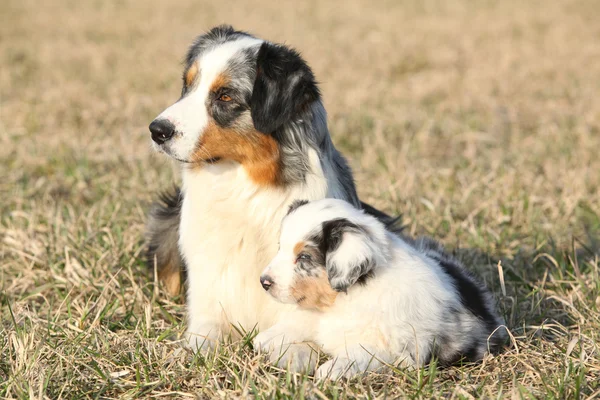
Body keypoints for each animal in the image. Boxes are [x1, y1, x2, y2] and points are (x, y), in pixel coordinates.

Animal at [146, 25, 394, 368]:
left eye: (225, 95)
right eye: (187, 85)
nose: (156, 130)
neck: (245, 188)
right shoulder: (209, 292)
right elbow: (203, 335)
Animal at [253, 198, 506, 380]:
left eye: (304, 257)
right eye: (280, 248)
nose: (264, 282)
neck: (348, 297)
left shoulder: (396, 350)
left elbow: (359, 354)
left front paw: (332, 370)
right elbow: (301, 323)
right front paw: (266, 338)